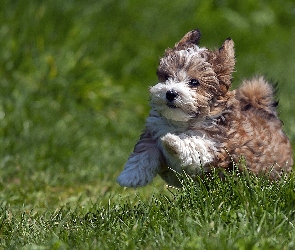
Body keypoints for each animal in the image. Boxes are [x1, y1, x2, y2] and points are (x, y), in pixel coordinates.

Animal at [117, 29, 294, 187]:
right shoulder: (154, 130)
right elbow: (144, 152)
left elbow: (193, 144)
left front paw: (172, 141)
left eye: (194, 82)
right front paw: (130, 176)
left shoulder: (214, 145)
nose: (170, 93)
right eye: (167, 77)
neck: (183, 121)